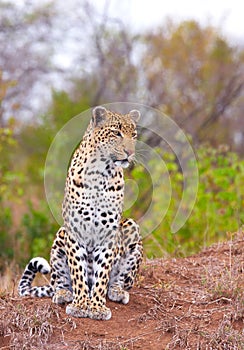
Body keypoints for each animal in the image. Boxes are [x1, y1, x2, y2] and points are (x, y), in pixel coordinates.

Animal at [18, 106, 143, 320]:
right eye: (116, 133)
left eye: (133, 135)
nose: (130, 152)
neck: (101, 172)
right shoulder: (75, 231)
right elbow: (77, 271)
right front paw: (80, 305)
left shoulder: (107, 233)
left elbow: (102, 274)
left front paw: (97, 307)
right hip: (60, 236)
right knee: (58, 281)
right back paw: (63, 294)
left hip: (131, 226)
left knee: (118, 281)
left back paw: (117, 292)